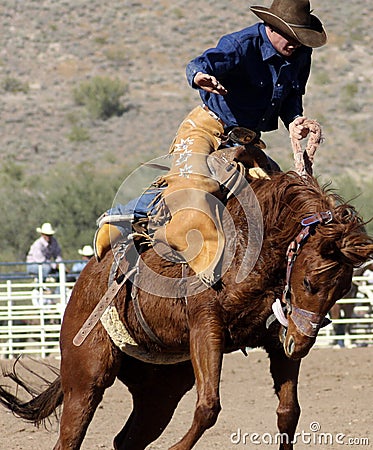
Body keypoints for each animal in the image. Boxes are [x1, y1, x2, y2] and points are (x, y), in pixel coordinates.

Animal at [0, 171, 372, 448]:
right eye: (309, 282)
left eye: (344, 290)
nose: (302, 343)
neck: (250, 249)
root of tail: (82, 284)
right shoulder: (206, 327)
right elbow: (208, 406)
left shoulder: (275, 337)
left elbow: (288, 411)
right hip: (86, 376)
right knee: (71, 437)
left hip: (159, 391)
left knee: (127, 439)